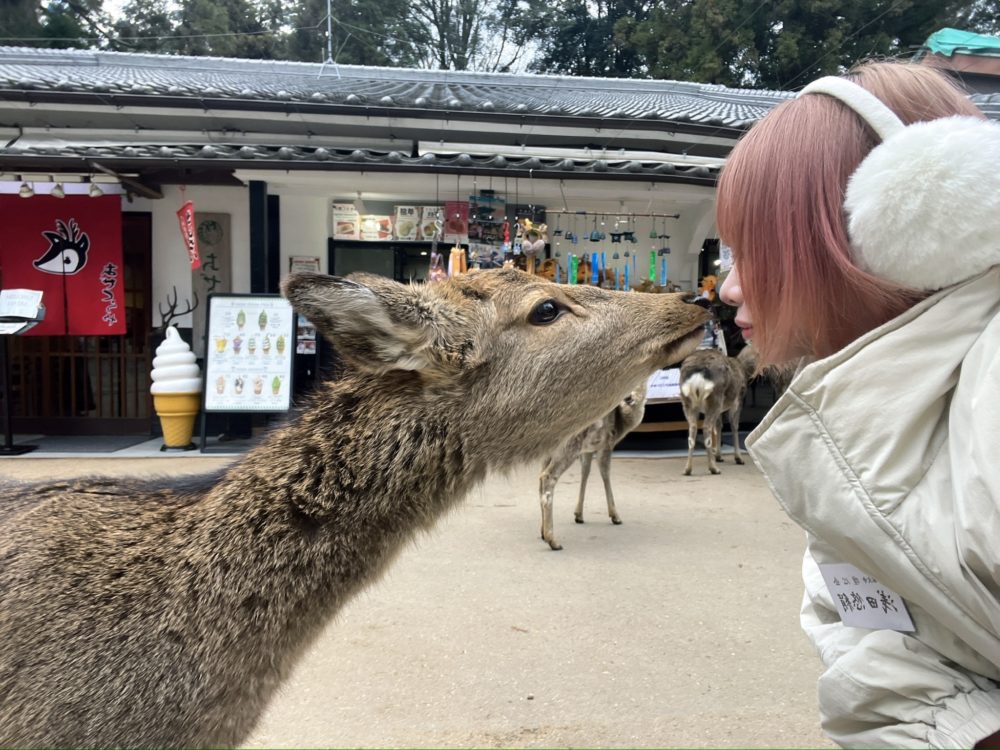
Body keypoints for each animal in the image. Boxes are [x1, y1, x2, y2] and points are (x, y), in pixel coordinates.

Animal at [538, 383, 647, 550]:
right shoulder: (606, 443)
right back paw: (553, 541)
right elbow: (605, 473)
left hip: (548, 453)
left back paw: (543, 532)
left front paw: (579, 515)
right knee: (547, 477)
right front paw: (616, 516)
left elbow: (585, 471)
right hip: (568, 446)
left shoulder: (587, 450)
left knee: (540, 479)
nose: (628, 398)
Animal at [679, 348, 748, 476]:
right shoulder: (737, 401)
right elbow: (734, 426)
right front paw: (739, 458)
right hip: (715, 399)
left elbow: (719, 425)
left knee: (693, 429)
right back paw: (713, 468)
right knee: (706, 428)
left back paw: (687, 469)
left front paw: (719, 456)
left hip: (687, 403)